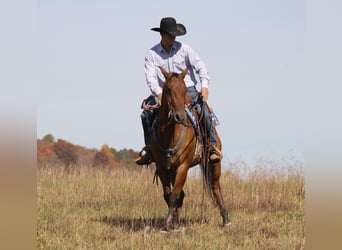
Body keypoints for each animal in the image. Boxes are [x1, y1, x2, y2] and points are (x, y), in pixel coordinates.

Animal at [151, 66, 231, 230]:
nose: (180, 116)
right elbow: (169, 195)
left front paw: (167, 224)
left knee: (215, 187)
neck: (169, 135)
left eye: (184, 90)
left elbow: (174, 195)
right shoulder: (162, 167)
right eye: (168, 89)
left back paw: (226, 218)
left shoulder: (183, 167)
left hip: (214, 163)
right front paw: (172, 221)